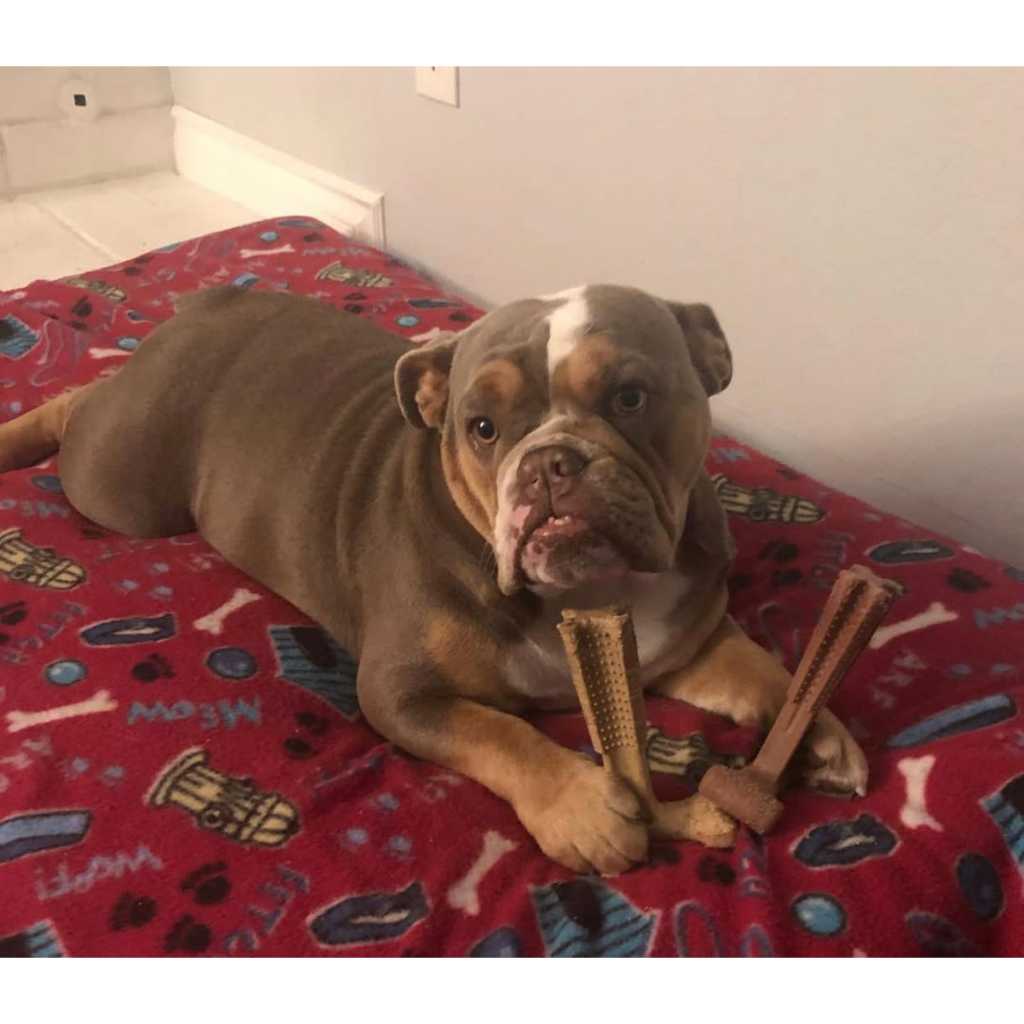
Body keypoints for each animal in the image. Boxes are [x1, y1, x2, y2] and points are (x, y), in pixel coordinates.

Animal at [0, 284, 867, 874]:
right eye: (481, 428)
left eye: (631, 396)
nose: (551, 461)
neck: (583, 594)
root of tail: (205, 307)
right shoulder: (403, 692)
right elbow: (501, 732)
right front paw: (582, 808)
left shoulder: (689, 634)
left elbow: (764, 670)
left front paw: (818, 734)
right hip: (121, 484)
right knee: (76, 406)